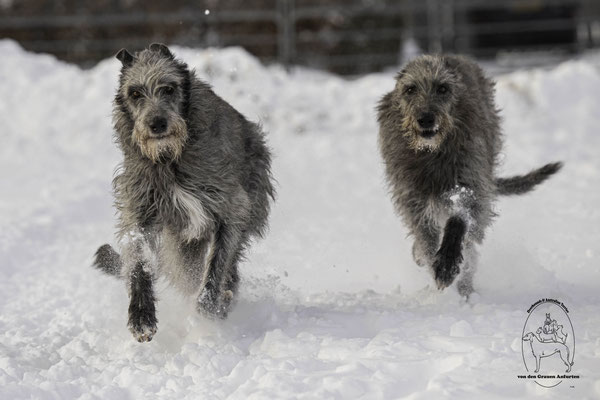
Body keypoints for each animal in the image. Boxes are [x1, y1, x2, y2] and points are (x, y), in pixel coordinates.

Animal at [93, 44, 274, 344]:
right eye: (135, 93)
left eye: (168, 88)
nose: (157, 124)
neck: (169, 158)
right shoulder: (140, 209)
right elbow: (138, 261)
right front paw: (141, 317)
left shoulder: (230, 205)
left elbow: (218, 262)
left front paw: (209, 306)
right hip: (181, 247)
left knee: (231, 263)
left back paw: (226, 296)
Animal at [380, 54, 564, 296]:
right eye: (410, 89)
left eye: (443, 88)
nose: (426, 119)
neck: (432, 152)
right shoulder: (412, 197)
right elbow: (425, 238)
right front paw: (430, 262)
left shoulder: (471, 178)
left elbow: (460, 218)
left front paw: (446, 265)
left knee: (471, 250)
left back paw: (464, 287)